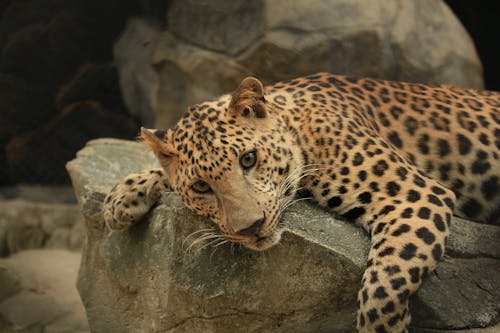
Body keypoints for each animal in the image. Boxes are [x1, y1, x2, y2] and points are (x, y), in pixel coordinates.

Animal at [102, 73, 500, 332]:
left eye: (249, 159)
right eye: (201, 186)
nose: (250, 228)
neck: (297, 122)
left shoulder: (411, 193)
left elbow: (383, 288)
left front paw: (392, 324)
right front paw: (120, 197)